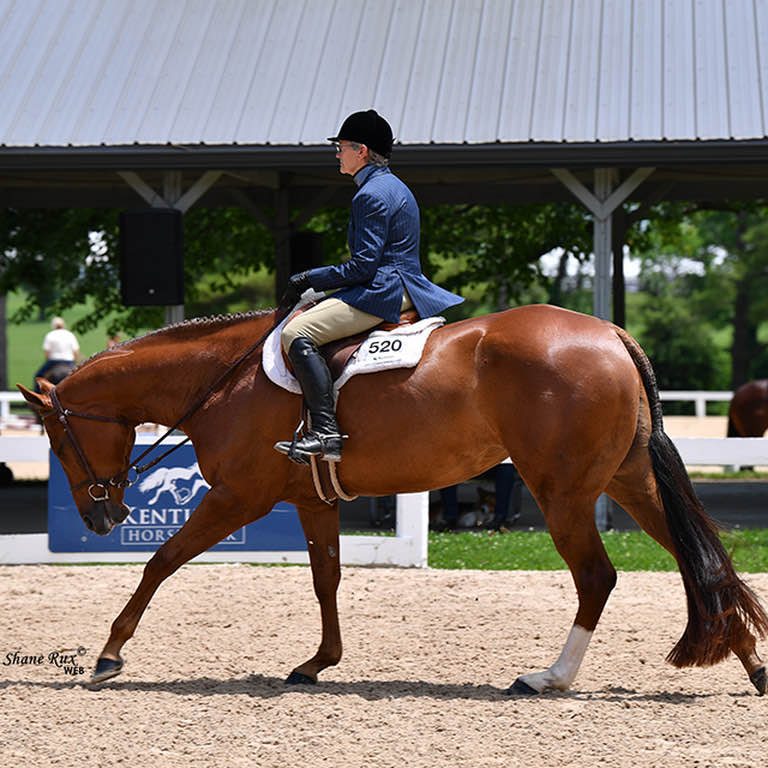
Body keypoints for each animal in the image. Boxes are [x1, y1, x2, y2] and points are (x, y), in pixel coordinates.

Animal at [18, 304, 768, 695]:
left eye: (59, 440)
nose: (101, 515)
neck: (221, 379)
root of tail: (610, 331)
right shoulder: (311, 500)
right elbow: (325, 578)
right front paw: (317, 663)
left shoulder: (237, 498)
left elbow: (160, 562)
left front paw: (109, 655)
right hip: (627, 481)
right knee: (701, 562)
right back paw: (753, 664)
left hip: (565, 493)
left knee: (598, 576)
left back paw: (549, 676)